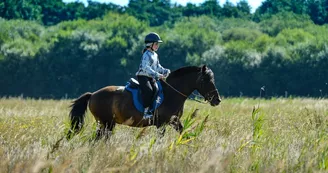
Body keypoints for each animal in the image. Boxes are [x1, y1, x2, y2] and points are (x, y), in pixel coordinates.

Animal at [66, 65, 220, 139]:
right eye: (206, 79)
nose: (217, 100)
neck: (172, 93)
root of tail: (92, 94)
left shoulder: (174, 121)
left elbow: (183, 133)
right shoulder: (161, 124)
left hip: (108, 124)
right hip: (105, 123)